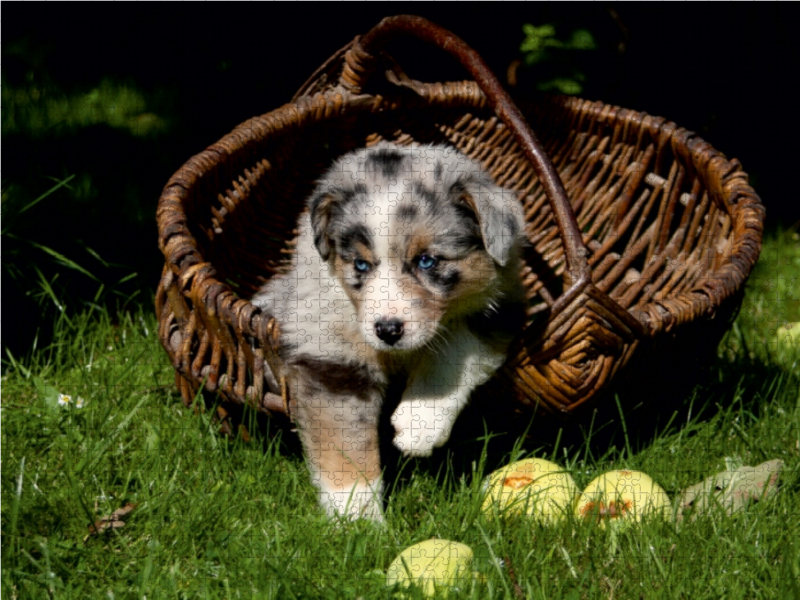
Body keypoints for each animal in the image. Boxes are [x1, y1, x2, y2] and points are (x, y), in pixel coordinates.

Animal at [253, 142, 528, 520]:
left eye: (427, 261)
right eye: (360, 265)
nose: (387, 330)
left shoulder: (498, 307)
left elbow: (455, 350)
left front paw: (418, 426)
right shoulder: (330, 356)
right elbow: (345, 444)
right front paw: (357, 521)